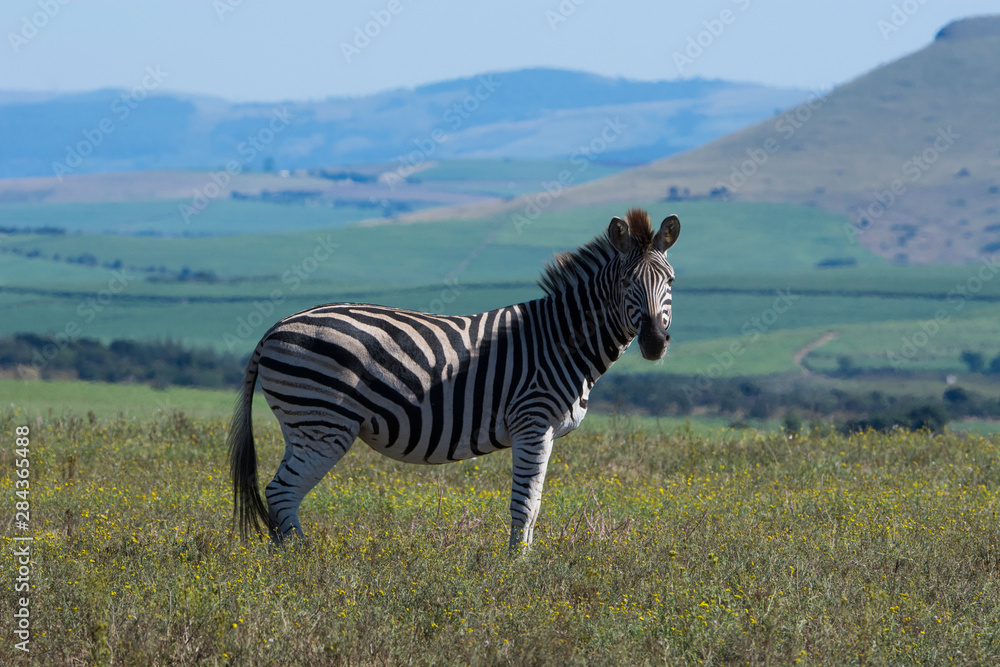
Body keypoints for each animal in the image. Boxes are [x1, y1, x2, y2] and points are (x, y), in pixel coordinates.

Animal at [228, 207, 679, 551]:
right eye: (626, 282)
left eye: (671, 281)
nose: (655, 342)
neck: (561, 339)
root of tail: (275, 327)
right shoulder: (532, 422)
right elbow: (524, 506)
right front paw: (517, 570)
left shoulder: (543, 431)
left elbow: (534, 505)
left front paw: (524, 563)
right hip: (324, 424)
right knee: (282, 492)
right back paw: (304, 564)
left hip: (303, 426)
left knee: (279, 494)